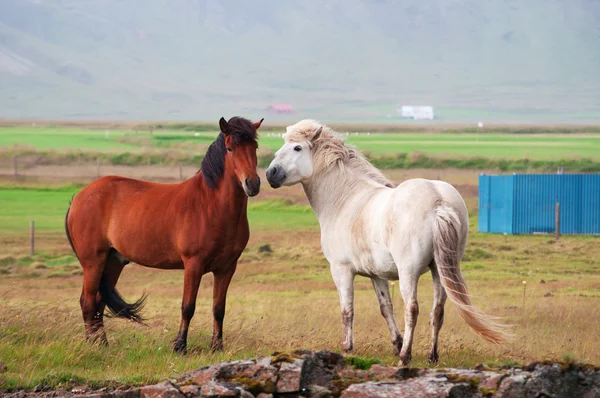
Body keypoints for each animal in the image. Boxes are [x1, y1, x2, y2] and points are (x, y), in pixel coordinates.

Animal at [64, 116, 264, 352]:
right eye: (230, 148)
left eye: (255, 147)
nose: (252, 184)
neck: (211, 205)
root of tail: (79, 196)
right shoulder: (193, 265)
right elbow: (188, 306)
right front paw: (180, 346)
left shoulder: (226, 268)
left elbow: (218, 308)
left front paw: (217, 347)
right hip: (93, 261)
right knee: (87, 302)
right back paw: (93, 346)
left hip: (112, 262)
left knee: (98, 302)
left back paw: (104, 343)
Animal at [268, 119, 510, 366]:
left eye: (297, 147)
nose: (271, 173)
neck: (346, 199)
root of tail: (438, 201)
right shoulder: (377, 275)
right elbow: (386, 308)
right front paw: (396, 343)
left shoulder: (341, 270)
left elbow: (347, 310)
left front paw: (347, 349)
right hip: (440, 270)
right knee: (437, 310)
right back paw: (431, 356)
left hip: (409, 271)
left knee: (412, 309)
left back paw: (405, 357)